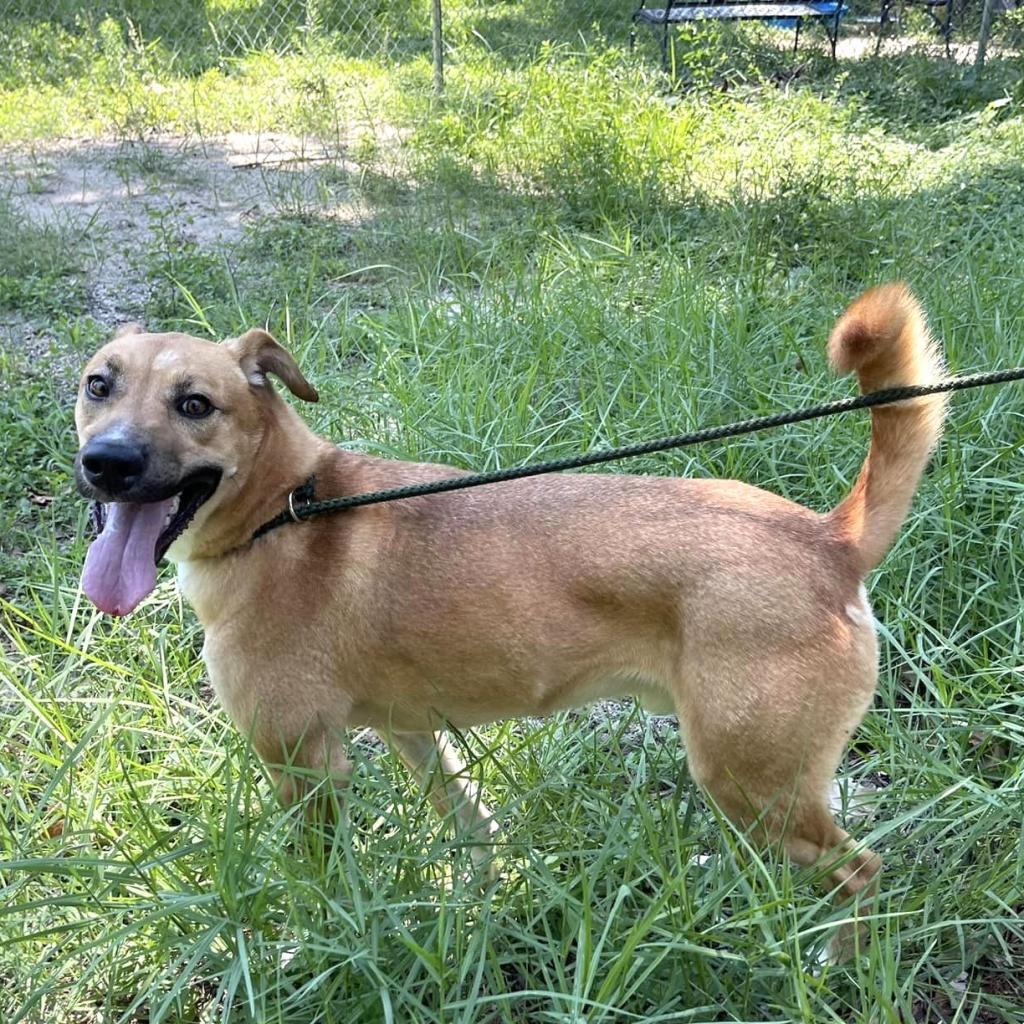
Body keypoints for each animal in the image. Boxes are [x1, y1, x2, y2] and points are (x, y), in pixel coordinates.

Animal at [77, 284, 942, 954]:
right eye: (98, 386)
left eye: (196, 404)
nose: (106, 463)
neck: (290, 507)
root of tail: (826, 539)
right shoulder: (411, 731)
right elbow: (471, 823)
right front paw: (476, 907)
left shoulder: (303, 763)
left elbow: (321, 884)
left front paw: (318, 944)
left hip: (752, 781)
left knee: (862, 873)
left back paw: (836, 965)